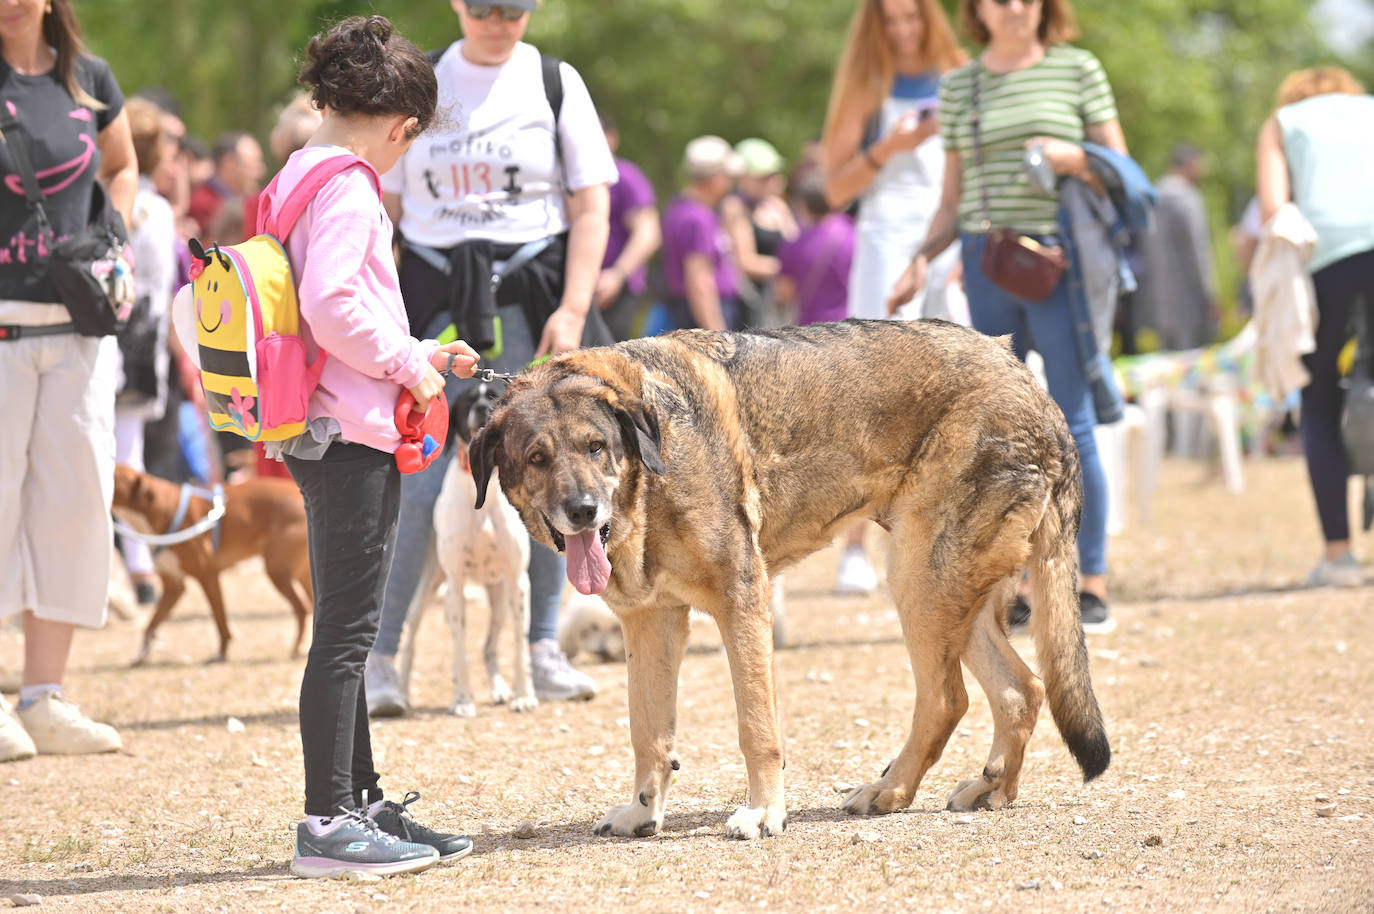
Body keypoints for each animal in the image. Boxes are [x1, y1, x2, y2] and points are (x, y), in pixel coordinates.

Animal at [111, 467, 311, 659]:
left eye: (113, 475)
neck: (163, 510)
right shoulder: (174, 586)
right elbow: (152, 622)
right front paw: (141, 654)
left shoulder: (208, 577)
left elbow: (219, 618)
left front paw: (221, 652)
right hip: (303, 575)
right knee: (310, 606)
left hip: (277, 571)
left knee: (302, 608)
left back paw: (297, 648)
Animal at [395, 382, 533, 714]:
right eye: (469, 399)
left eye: (494, 397)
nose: (483, 408)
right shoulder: (455, 585)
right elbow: (459, 649)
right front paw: (462, 700)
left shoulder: (519, 582)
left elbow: (520, 645)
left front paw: (523, 695)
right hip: (428, 589)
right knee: (410, 638)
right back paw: (400, 694)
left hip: (500, 601)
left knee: (490, 647)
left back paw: (500, 689)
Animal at [469, 320, 1104, 841]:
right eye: (536, 458)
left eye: (596, 447)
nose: (582, 511)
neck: (651, 472)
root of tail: (1028, 379)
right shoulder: (650, 622)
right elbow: (648, 730)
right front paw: (643, 813)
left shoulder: (741, 601)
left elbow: (756, 726)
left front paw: (762, 813)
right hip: (945, 586)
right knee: (1022, 690)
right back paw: (991, 790)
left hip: (921, 578)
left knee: (948, 698)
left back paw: (889, 790)